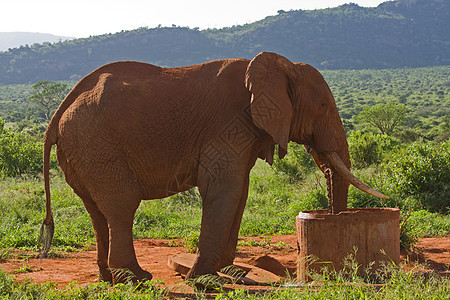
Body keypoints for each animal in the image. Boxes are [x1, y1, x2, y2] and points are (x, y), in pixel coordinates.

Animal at [37, 51, 386, 284]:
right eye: (323, 106)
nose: (333, 216)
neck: (278, 67)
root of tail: (57, 115)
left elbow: (240, 192)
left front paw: (231, 272)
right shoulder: (230, 123)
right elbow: (223, 190)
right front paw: (206, 279)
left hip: (82, 152)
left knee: (98, 212)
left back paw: (108, 278)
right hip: (96, 146)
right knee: (122, 205)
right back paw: (137, 278)